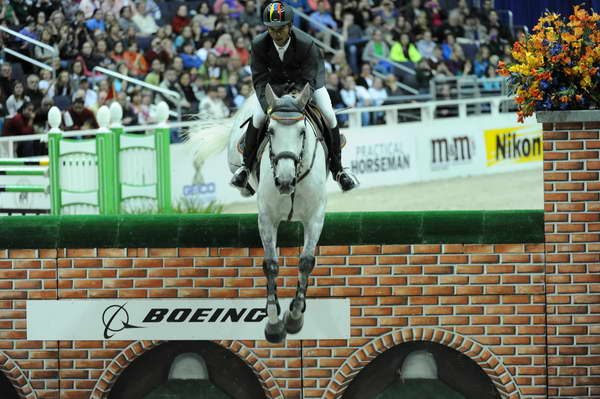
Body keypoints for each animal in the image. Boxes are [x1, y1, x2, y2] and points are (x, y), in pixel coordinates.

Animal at [190, 84, 326, 344]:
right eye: (270, 131)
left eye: (302, 132)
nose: (284, 181)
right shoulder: (267, 218)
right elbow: (271, 265)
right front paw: (274, 324)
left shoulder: (315, 216)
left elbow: (305, 262)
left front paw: (294, 317)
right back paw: (242, 181)